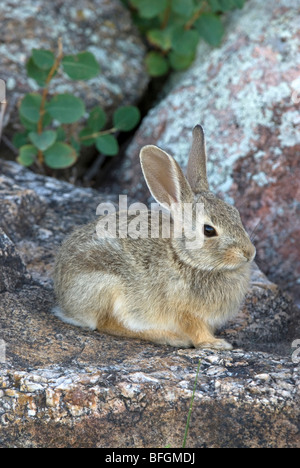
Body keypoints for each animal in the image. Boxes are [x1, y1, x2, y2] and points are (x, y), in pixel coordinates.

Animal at [54, 126, 255, 350]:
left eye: (235, 213)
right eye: (209, 230)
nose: (249, 253)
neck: (186, 258)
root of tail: (65, 300)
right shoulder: (184, 311)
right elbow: (196, 330)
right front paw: (215, 343)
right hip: (108, 286)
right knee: (107, 323)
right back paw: (166, 336)